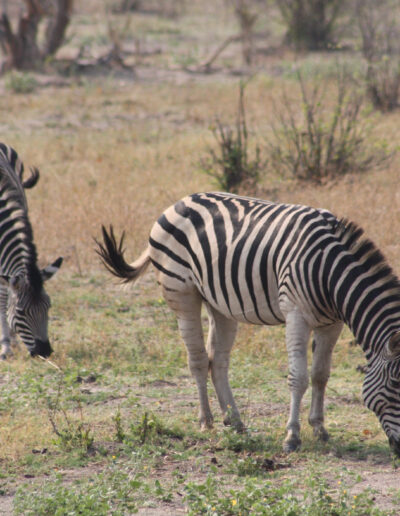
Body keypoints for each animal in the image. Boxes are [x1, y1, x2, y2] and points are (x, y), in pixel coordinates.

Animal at [95, 192, 400, 456]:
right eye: (395, 385)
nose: (399, 450)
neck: (330, 274)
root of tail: (179, 201)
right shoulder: (296, 314)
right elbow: (299, 377)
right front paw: (292, 436)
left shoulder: (331, 323)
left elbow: (320, 375)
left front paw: (320, 429)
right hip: (181, 292)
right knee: (197, 360)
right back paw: (206, 422)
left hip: (220, 304)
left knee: (217, 361)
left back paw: (235, 421)